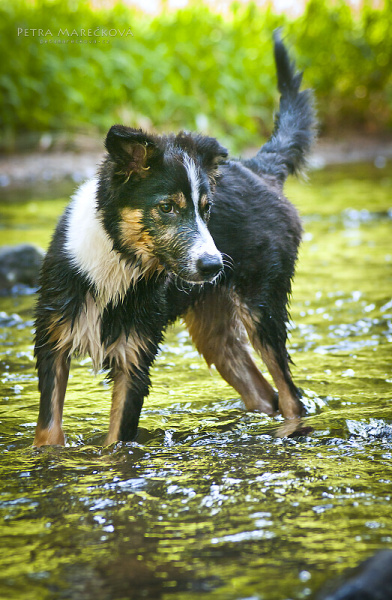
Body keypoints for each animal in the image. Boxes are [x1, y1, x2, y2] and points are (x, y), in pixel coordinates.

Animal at [33, 31, 316, 446]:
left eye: (207, 209)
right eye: (167, 207)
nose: (214, 265)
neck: (117, 261)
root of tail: (260, 169)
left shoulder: (135, 357)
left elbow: (116, 443)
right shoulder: (52, 344)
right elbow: (49, 433)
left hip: (262, 308)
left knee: (292, 397)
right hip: (214, 331)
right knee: (266, 393)